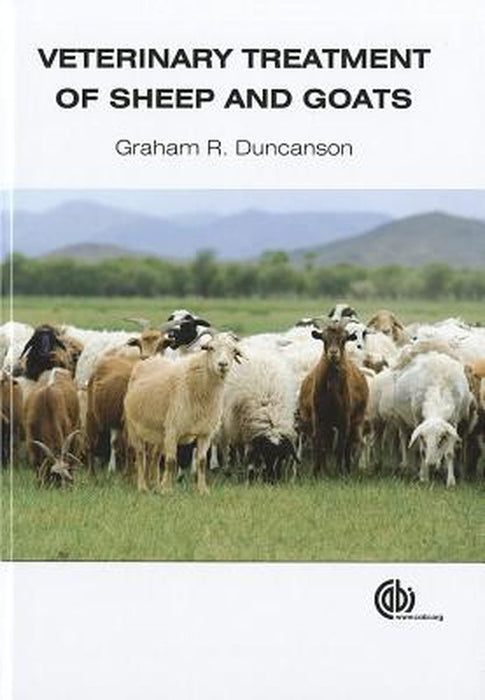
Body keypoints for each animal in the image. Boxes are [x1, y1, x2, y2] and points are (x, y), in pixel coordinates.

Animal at [124, 331, 243, 494]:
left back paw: (156, 485)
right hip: (134, 427)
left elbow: (201, 462)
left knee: (155, 457)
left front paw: (202, 491)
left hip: (160, 433)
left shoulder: (205, 433)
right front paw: (167, 490)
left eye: (234, 351)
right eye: (210, 348)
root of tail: (149, 360)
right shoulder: (173, 430)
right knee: (141, 454)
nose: (223, 365)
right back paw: (143, 487)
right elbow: (171, 461)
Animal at [299, 320, 369, 476]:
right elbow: (319, 444)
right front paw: (316, 472)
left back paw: (347, 469)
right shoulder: (318, 418)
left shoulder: (344, 419)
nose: (333, 353)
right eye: (324, 339)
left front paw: (340, 472)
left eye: (344, 340)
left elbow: (341, 447)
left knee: (348, 445)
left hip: (356, 420)